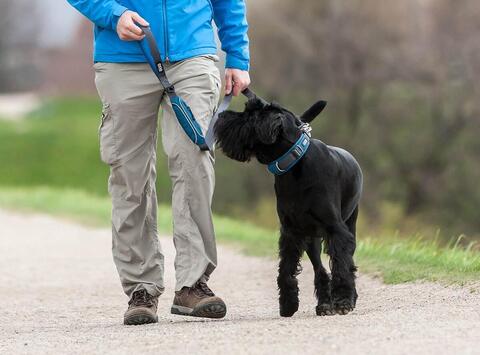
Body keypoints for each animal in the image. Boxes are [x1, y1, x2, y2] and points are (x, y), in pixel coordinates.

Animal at [216, 96, 362, 318]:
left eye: (250, 116)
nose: (222, 115)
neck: (294, 165)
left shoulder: (336, 230)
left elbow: (342, 267)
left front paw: (344, 301)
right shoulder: (291, 231)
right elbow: (285, 269)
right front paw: (288, 304)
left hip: (349, 224)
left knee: (347, 263)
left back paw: (346, 298)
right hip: (311, 239)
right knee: (320, 270)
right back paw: (324, 304)